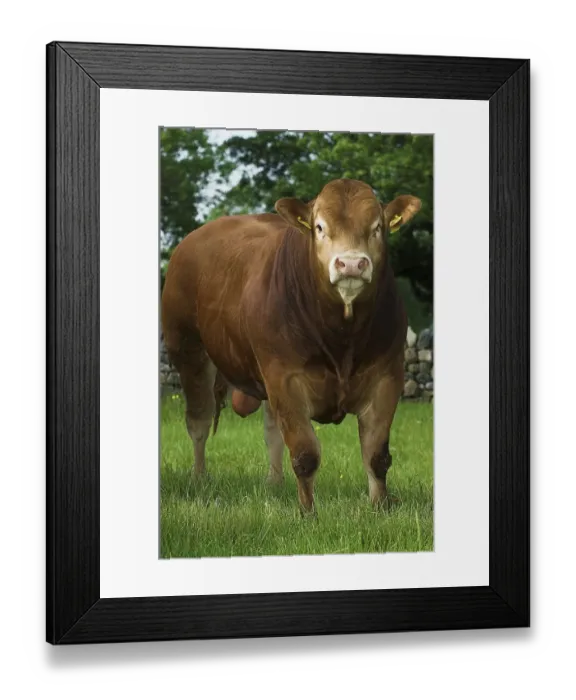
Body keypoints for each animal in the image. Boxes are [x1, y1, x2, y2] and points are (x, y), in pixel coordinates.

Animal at [161, 178, 421, 515]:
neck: (343, 338)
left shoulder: (387, 377)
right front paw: (309, 513)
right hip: (189, 351)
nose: (351, 264)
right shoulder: (285, 378)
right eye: (320, 227)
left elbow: (376, 454)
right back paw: (199, 477)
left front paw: (379, 508)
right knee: (199, 421)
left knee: (271, 430)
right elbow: (305, 453)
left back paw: (275, 482)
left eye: (378, 227)